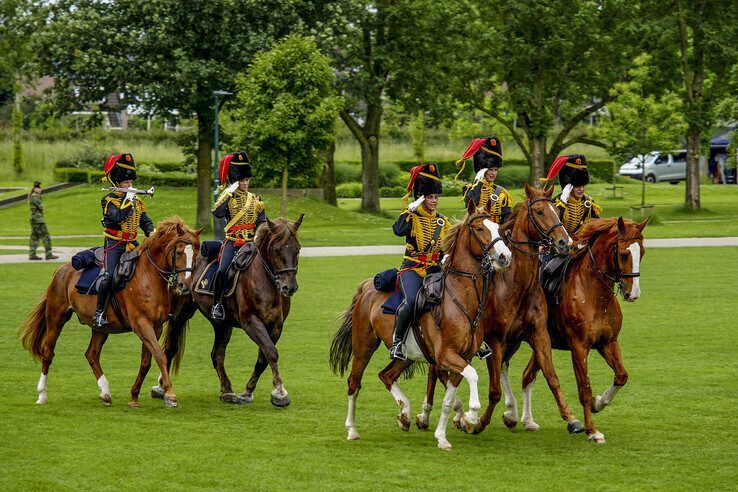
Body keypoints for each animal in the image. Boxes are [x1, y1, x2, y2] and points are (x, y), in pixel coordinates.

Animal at [17, 218, 201, 408]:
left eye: (196, 253)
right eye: (179, 252)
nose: (184, 286)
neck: (148, 276)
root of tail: (62, 269)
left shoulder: (155, 327)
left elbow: (146, 362)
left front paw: (134, 396)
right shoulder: (142, 325)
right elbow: (160, 357)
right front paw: (170, 395)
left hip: (100, 328)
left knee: (91, 354)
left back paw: (105, 392)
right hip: (56, 318)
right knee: (48, 352)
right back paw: (42, 394)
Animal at [158, 215, 302, 408]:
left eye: (298, 249)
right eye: (276, 249)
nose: (289, 287)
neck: (265, 280)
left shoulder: (276, 326)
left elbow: (263, 358)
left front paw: (248, 392)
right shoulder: (251, 322)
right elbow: (271, 352)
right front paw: (280, 392)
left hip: (222, 324)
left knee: (217, 355)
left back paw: (227, 390)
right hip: (180, 314)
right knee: (170, 348)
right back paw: (161, 388)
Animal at [330, 199, 512, 450]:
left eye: (497, 228)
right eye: (479, 228)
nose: (505, 256)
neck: (459, 299)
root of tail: (367, 287)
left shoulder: (461, 359)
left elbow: (449, 400)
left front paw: (442, 436)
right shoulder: (446, 356)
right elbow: (473, 377)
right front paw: (471, 416)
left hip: (407, 355)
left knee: (386, 375)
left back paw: (405, 414)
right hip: (363, 347)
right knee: (353, 383)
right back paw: (352, 430)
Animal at [420, 184, 588, 434]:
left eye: (557, 211)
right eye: (539, 211)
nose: (563, 242)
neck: (517, 285)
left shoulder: (538, 334)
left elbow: (551, 377)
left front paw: (572, 419)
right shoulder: (496, 340)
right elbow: (494, 390)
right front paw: (478, 421)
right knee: (436, 371)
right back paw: (428, 414)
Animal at [512, 217, 644, 444]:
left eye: (641, 253)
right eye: (624, 254)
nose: (633, 293)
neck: (593, 293)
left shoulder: (608, 343)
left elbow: (621, 375)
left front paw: (598, 402)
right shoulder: (579, 347)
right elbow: (584, 388)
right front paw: (592, 430)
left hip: (541, 345)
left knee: (528, 376)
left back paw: (528, 421)